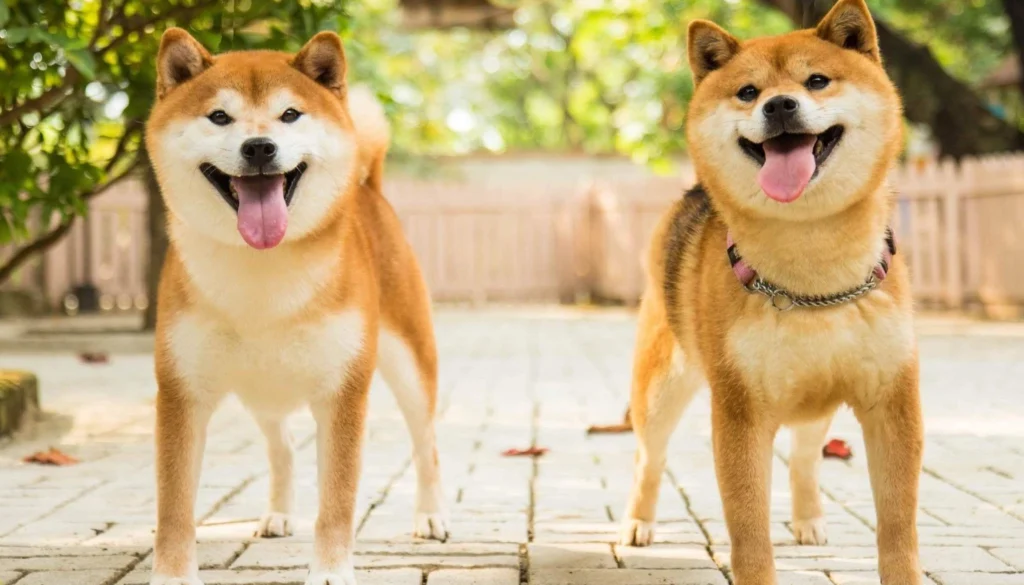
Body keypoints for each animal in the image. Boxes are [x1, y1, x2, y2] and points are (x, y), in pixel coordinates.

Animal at [147, 28, 448, 585]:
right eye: (219, 117)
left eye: (290, 114)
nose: (259, 146)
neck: (262, 270)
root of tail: (368, 187)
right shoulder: (181, 392)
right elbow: (173, 508)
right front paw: (173, 576)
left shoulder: (343, 393)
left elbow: (338, 502)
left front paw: (330, 571)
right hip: (260, 388)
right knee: (282, 447)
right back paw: (279, 514)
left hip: (409, 365)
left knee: (426, 445)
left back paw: (432, 516)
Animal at [618, 2, 925, 581]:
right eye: (747, 91)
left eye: (817, 81)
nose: (780, 104)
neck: (815, 278)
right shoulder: (740, 411)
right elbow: (749, 533)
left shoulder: (892, 402)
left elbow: (898, 528)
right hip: (662, 388)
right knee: (650, 457)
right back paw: (637, 524)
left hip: (818, 400)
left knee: (805, 457)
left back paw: (808, 521)